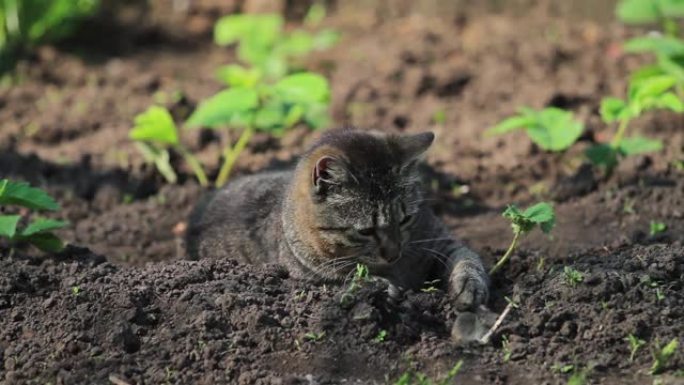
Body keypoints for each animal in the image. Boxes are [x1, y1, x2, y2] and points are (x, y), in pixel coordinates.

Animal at [184, 129, 488, 308]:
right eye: (366, 231)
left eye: (405, 219)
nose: (393, 254)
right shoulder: (309, 276)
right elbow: (353, 277)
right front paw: (383, 286)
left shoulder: (441, 240)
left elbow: (468, 258)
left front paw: (469, 286)